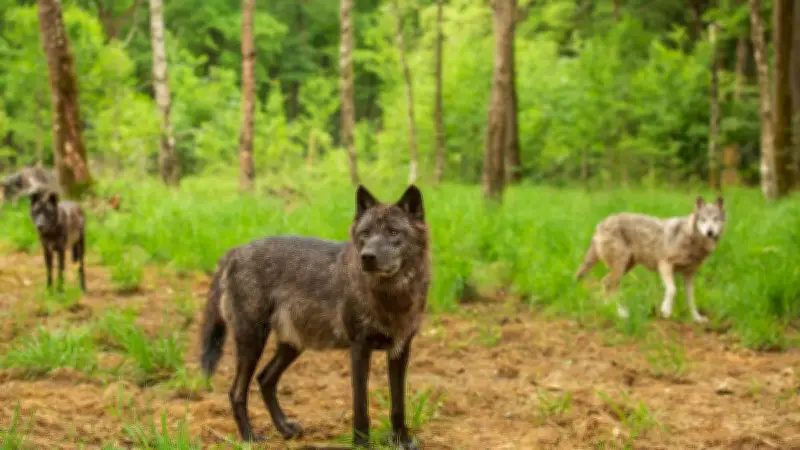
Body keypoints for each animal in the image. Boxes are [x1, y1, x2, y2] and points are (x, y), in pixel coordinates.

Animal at [199, 184, 430, 449]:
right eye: (365, 233)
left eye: (393, 232)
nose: (367, 256)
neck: (390, 296)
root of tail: (234, 251)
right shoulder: (360, 349)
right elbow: (361, 407)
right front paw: (362, 444)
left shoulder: (401, 351)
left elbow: (398, 404)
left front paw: (402, 441)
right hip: (252, 341)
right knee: (236, 391)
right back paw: (249, 438)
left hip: (292, 345)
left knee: (265, 379)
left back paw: (285, 428)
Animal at [575, 196, 726, 323]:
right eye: (703, 219)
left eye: (715, 219)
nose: (710, 232)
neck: (692, 238)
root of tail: (600, 224)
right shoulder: (664, 264)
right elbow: (672, 290)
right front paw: (665, 310)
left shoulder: (689, 275)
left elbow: (691, 301)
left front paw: (697, 318)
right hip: (621, 267)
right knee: (610, 287)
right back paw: (621, 314)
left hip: (625, 267)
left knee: (605, 283)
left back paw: (611, 309)